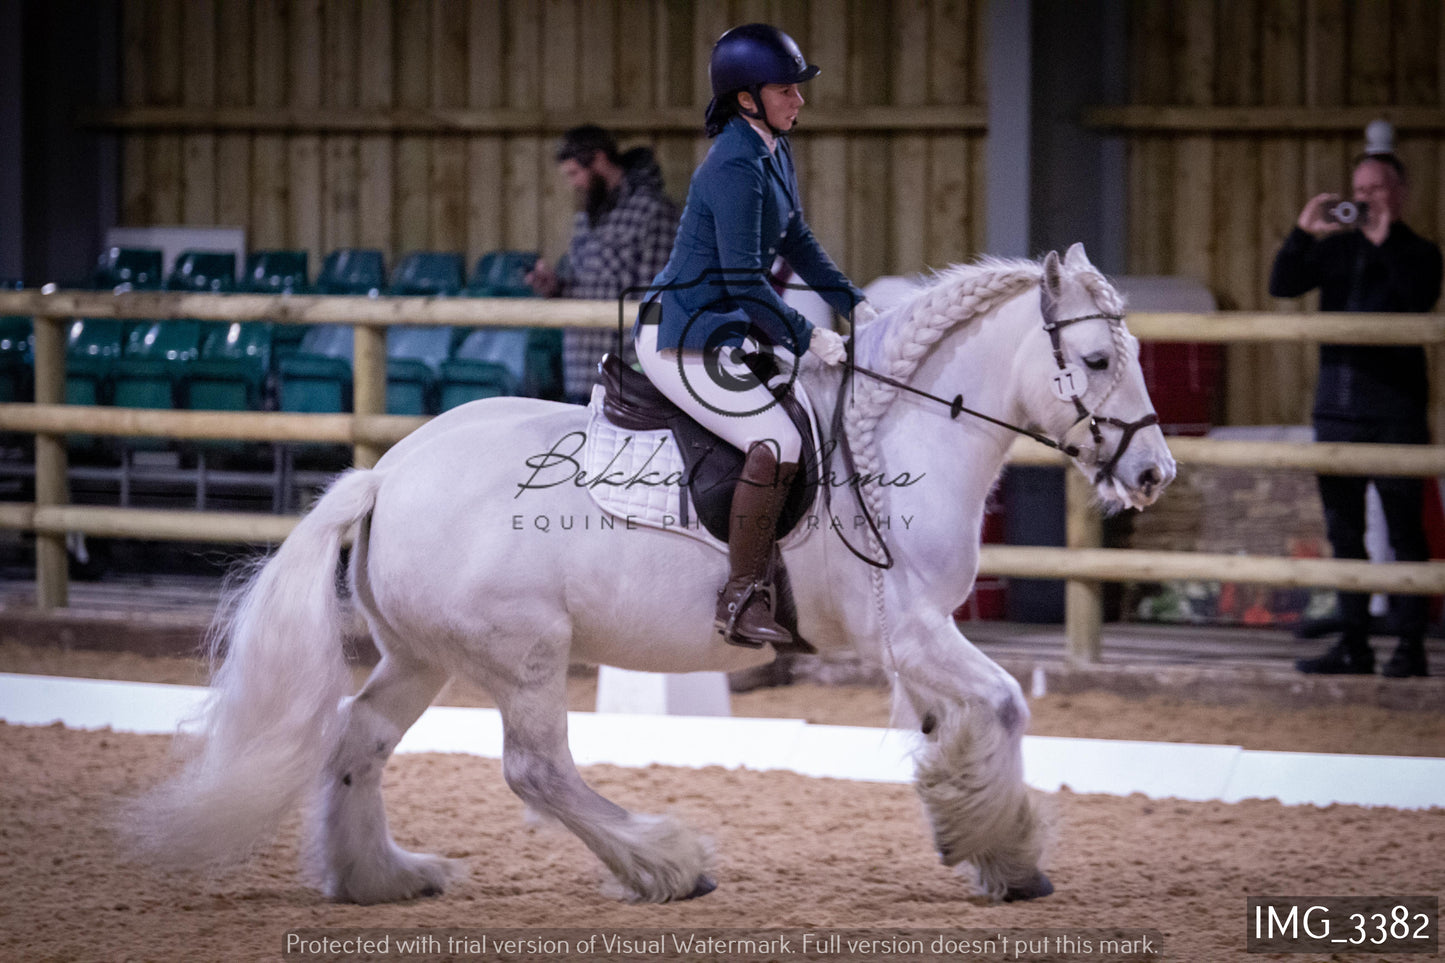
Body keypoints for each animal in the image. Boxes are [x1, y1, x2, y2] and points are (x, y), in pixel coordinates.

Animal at [127, 240, 1173, 902]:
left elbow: (956, 729)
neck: (898, 429)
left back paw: (383, 878)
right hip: (523, 653)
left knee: (358, 740)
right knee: (535, 768)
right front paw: (999, 847)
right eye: (1093, 358)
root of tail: (384, 474)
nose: (1153, 474)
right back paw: (664, 864)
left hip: (423, 656)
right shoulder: (913, 628)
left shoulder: (909, 640)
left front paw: (985, 843)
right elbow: (1004, 705)